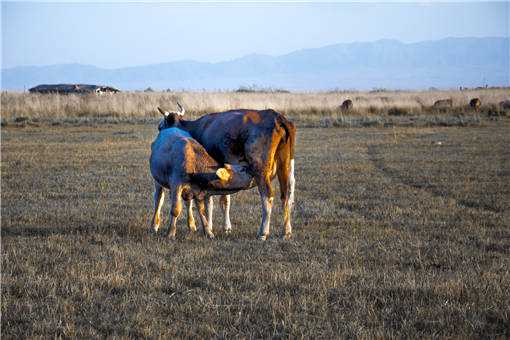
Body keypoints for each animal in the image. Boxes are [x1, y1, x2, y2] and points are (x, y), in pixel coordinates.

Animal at [157, 105, 296, 240]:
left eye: (161, 126)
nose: (160, 133)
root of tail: (276, 117)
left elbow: (208, 202)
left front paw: (209, 227)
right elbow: (225, 200)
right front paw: (226, 228)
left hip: (260, 170)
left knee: (267, 196)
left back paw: (263, 232)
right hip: (287, 166)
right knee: (287, 196)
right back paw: (287, 232)